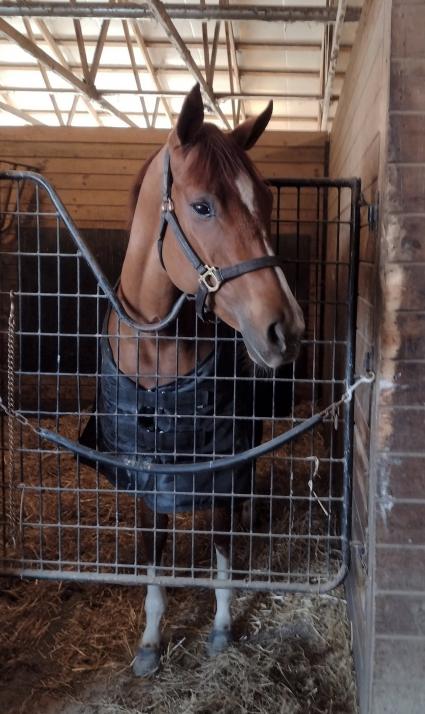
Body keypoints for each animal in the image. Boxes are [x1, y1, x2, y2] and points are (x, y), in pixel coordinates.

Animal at [88, 83, 304, 672]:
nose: (286, 328)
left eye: (266, 201)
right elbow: (154, 554)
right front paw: (149, 642)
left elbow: (222, 546)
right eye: (202, 206)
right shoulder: (142, 470)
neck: (157, 348)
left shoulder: (222, 457)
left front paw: (224, 628)